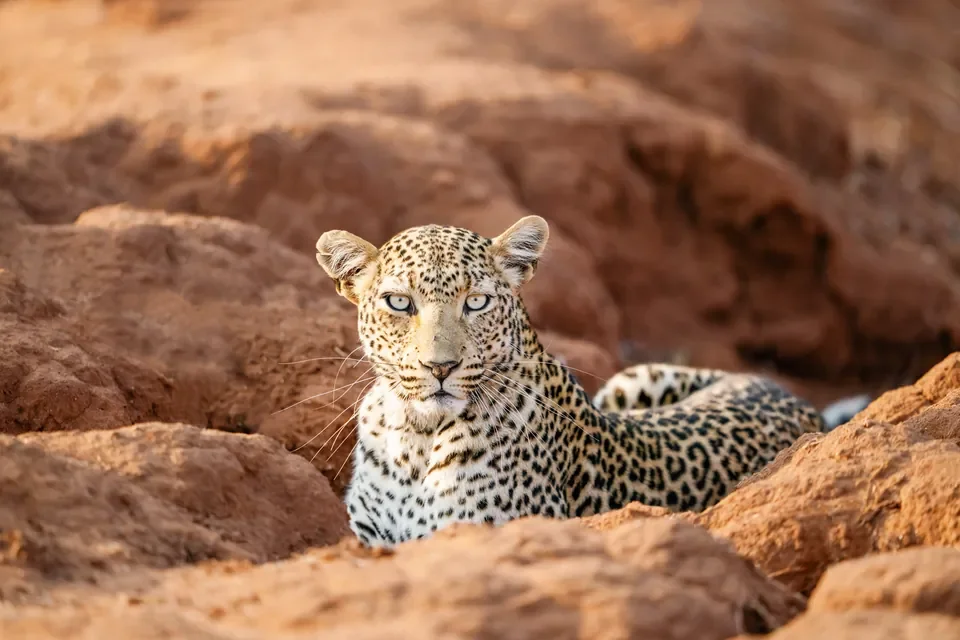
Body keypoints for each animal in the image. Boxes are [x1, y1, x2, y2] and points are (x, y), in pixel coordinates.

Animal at [314, 215, 857, 547]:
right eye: (399, 303)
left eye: (477, 302)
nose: (440, 368)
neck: (416, 436)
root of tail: (781, 389)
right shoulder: (363, 533)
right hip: (630, 379)